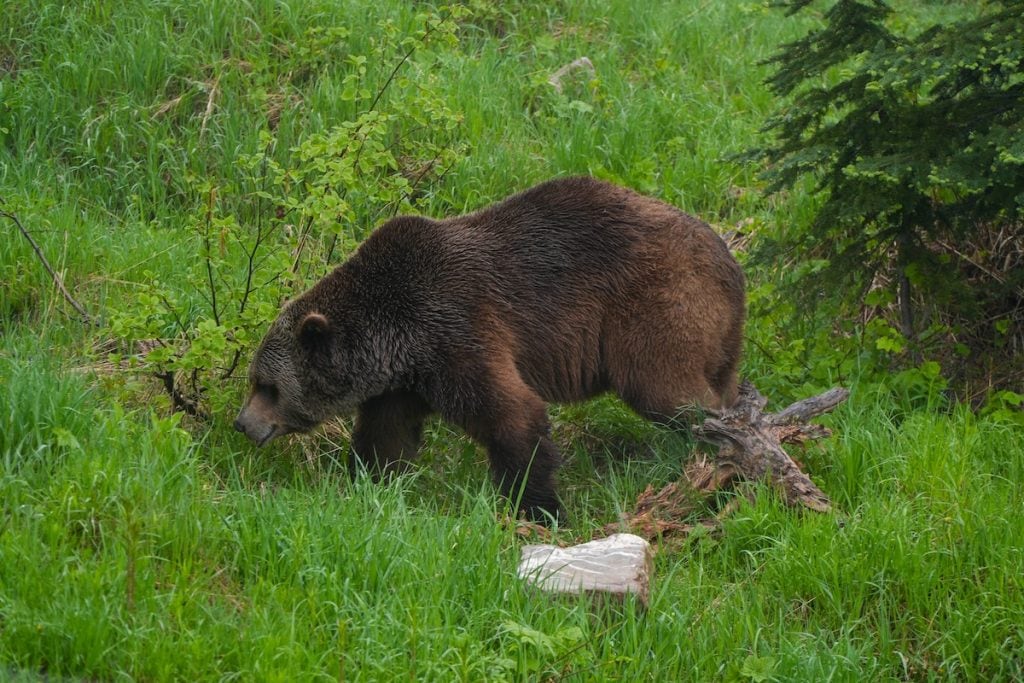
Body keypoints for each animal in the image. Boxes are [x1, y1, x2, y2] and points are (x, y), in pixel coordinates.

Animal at [234, 176, 745, 521]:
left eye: (268, 386)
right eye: (256, 380)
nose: (242, 423)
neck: (394, 340)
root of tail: (730, 261)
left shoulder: (457, 328)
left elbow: (512, 414)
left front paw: (538, 507)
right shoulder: (406, 381)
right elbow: (387, 433)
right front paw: (369, 480)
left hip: (653, 306)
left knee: (667, 389)